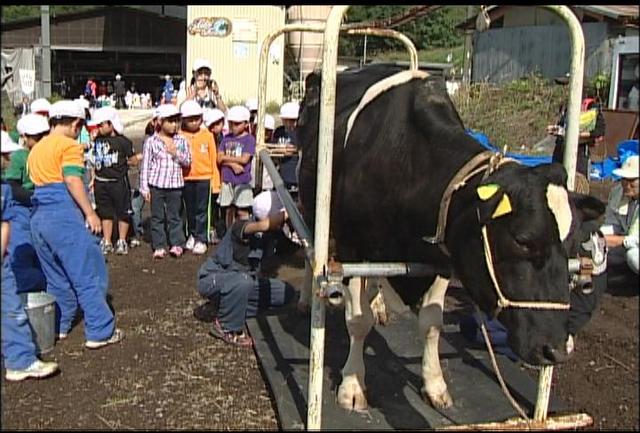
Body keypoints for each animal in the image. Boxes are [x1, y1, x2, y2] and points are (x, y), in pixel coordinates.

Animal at [296, 65, 604, 412]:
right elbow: (358, 321)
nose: (557, 350)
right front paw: (352, 385)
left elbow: (431, 323)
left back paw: (378, 303)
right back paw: (307, 301)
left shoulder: (442, 254)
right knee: (310, 251)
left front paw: (435, 384)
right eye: (523, 240)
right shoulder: (352, 248)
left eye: (572, 245)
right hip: (311, 208)